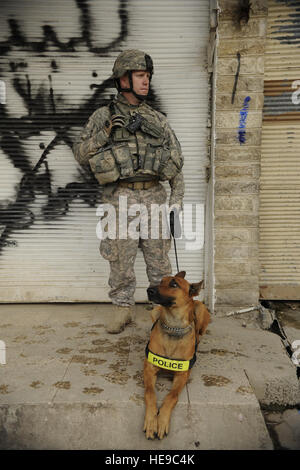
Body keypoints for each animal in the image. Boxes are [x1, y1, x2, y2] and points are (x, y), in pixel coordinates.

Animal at [144, 272, 211, 440]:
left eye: (174, 284)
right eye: (161, 280)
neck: (173, 326)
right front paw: (151, 420)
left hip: (200, 308)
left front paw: (161, 421)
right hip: (155, 311)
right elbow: (150, 393)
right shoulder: (149, 368)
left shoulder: (182, 374)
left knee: (200, 331)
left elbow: (171, 396)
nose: (149, 290)